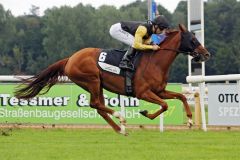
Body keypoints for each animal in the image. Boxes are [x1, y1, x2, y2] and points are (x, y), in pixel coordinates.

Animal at [14, 24, 210, 135]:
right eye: (192, 39)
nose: (206, 54)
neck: (155, 62)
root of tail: (70, 58)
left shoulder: (159, 90)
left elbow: (181, 97)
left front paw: (190, 120)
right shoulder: (143, 92)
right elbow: (165, 105)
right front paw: (145, 113)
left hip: (97, 84)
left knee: (98, 106)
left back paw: (119, 129)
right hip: (92, 80)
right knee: (96, 104)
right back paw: (120, 118)